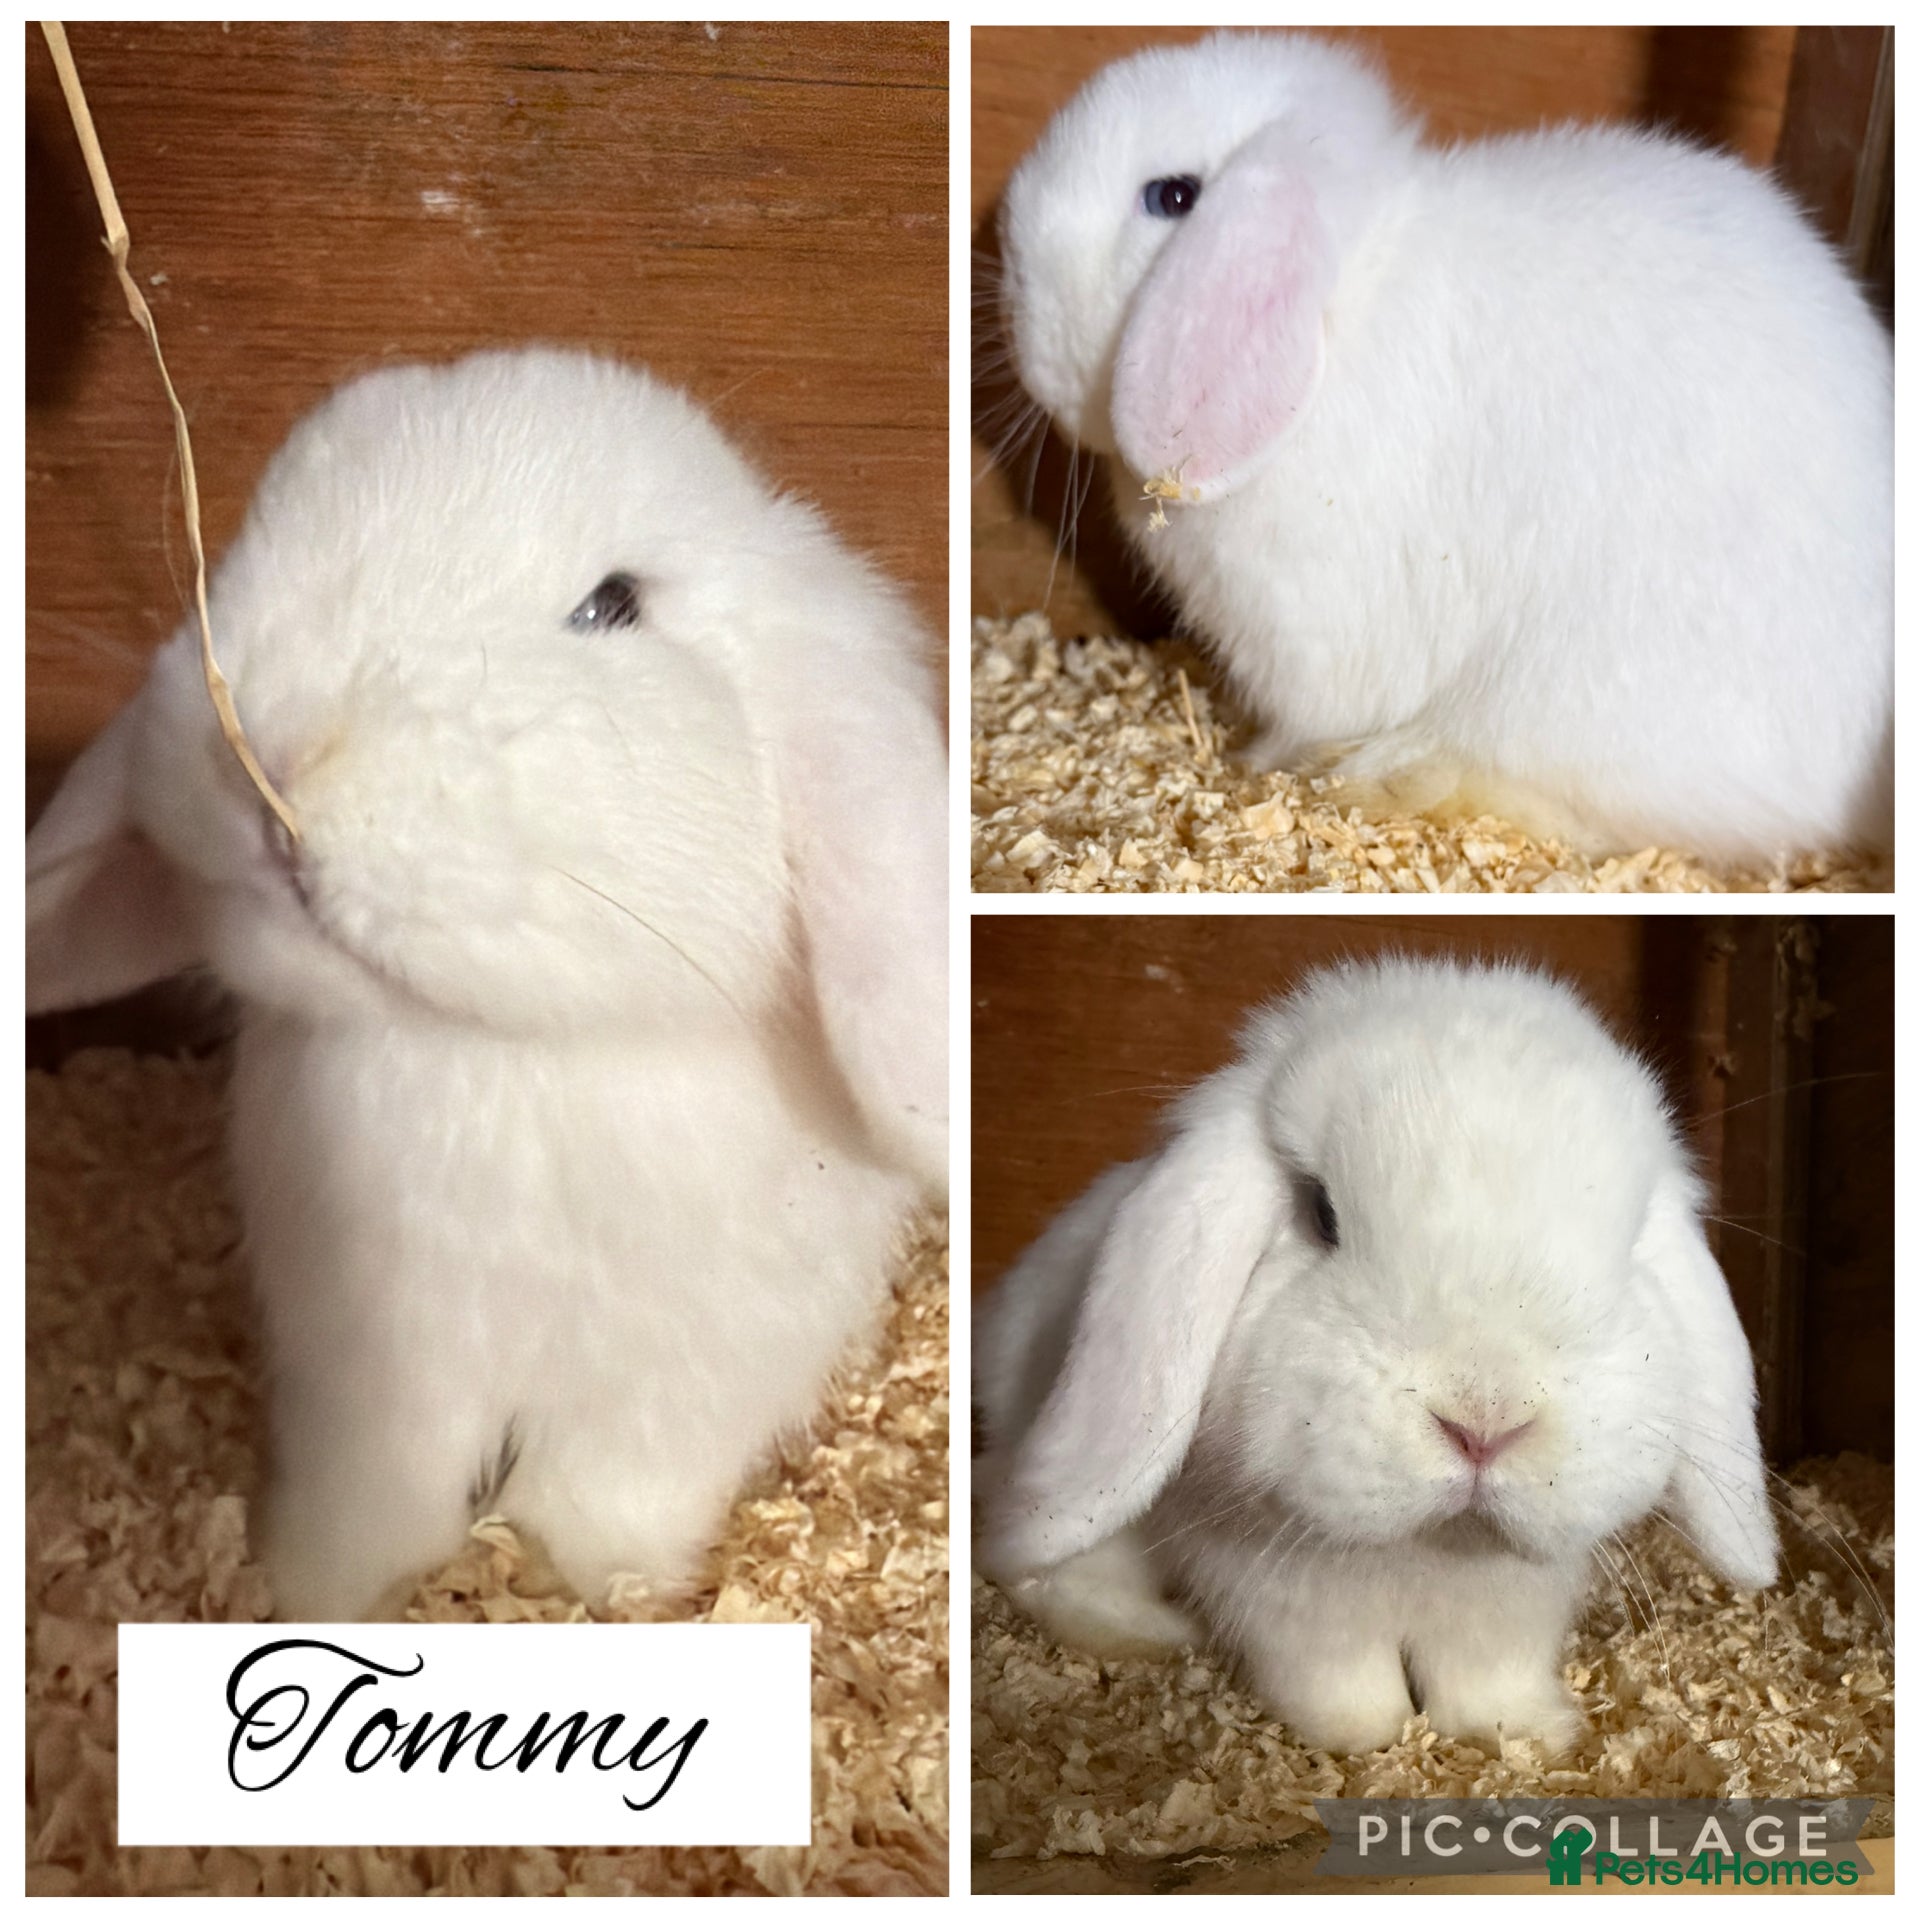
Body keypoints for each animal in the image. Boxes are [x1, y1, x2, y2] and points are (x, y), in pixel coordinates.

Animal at [26, 346, 948, 1622]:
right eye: (265, 525)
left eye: (613, 606)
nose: (273, 756)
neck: (510, 1056)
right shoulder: (365, 1382)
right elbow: (377, 1510)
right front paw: (311, 1591)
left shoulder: (678, 1393)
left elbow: (598, 1500)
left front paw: (610, 1592)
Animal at [975, 955, 1778, 1756]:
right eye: (1320, 1213)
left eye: (1630, 1238)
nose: (1484, 1425)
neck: (1430, 1550)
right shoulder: (1282, 1592)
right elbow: (1334, 1673)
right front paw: (1366, 1737)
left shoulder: (1507, 1608)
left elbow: (1490, 1672)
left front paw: (1522, 1738)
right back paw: (1152, 1634)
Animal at [995, 30, 1893, 865]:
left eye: (1171, 195)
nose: (1017, 305)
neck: (1339, 312)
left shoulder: (1315, 633)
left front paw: (1260, 763)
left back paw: (1394, 773)